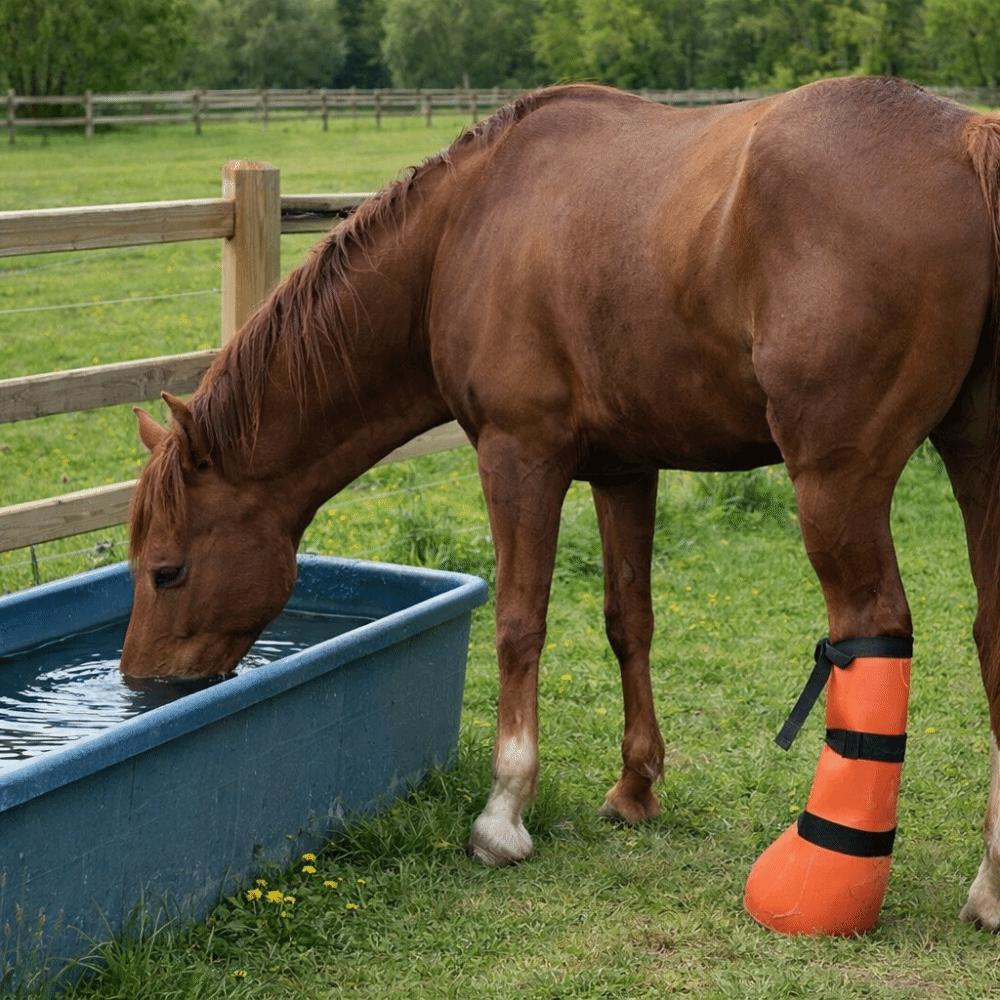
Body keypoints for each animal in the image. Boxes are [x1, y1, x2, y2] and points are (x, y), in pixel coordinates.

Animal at [123, 76, 1000, 928]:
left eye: (167, 570)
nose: (141, 683)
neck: (463, 229)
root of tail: (963, 139)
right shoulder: (625, 470)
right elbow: (628, 620)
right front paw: (636, 786)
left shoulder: (519, 458)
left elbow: (519, 625)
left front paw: (503, 815)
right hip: (977, 461)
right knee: (990, 636)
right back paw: (989, 884)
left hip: (836, 485)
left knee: (872, 630)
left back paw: (824, 878)